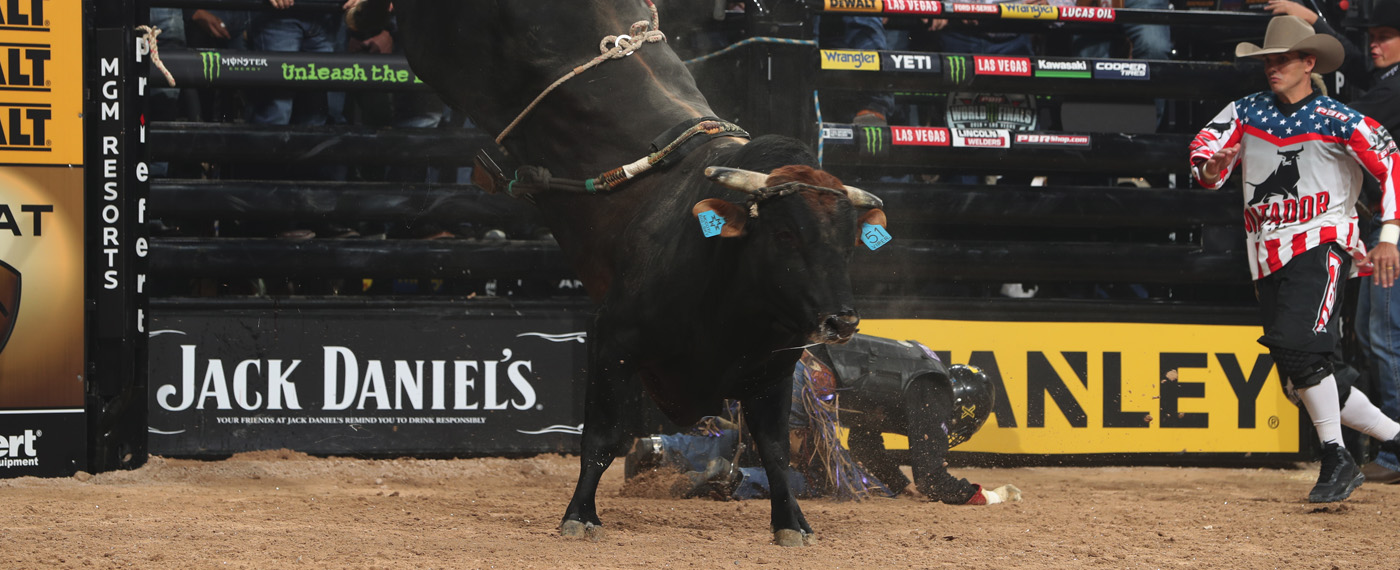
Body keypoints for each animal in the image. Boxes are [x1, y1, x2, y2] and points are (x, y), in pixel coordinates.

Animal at [348, 0, 888, 546]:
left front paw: (791, 523)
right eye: (784, 234)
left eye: (849, 242)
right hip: (433, 42)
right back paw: (361, 15)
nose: (841, 322)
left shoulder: (772, 372)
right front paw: (579, 515)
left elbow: (776, 451)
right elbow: (603, 437)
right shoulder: (611, 339)